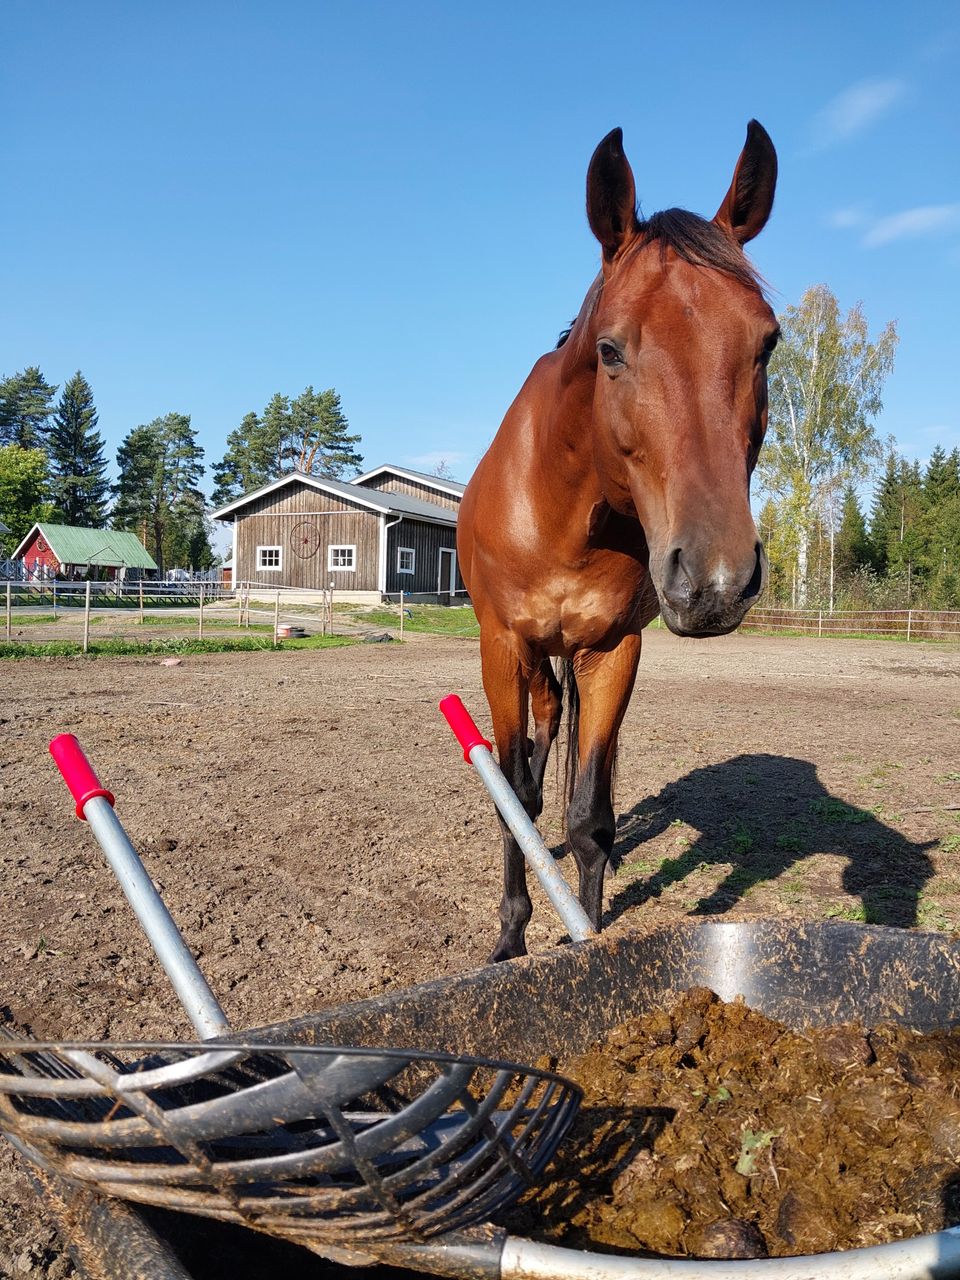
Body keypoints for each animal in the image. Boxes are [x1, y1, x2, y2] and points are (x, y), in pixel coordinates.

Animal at [458, 120, 783, 962]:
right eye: (609, 349)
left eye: (766, 343)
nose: (715, 578)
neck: (564, 512)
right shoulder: (502, 646)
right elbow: (517, 797)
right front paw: (511, 937)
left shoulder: (612, 652)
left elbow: (590, 819)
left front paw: (590, 941)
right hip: (533, 662)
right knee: (534, 767)